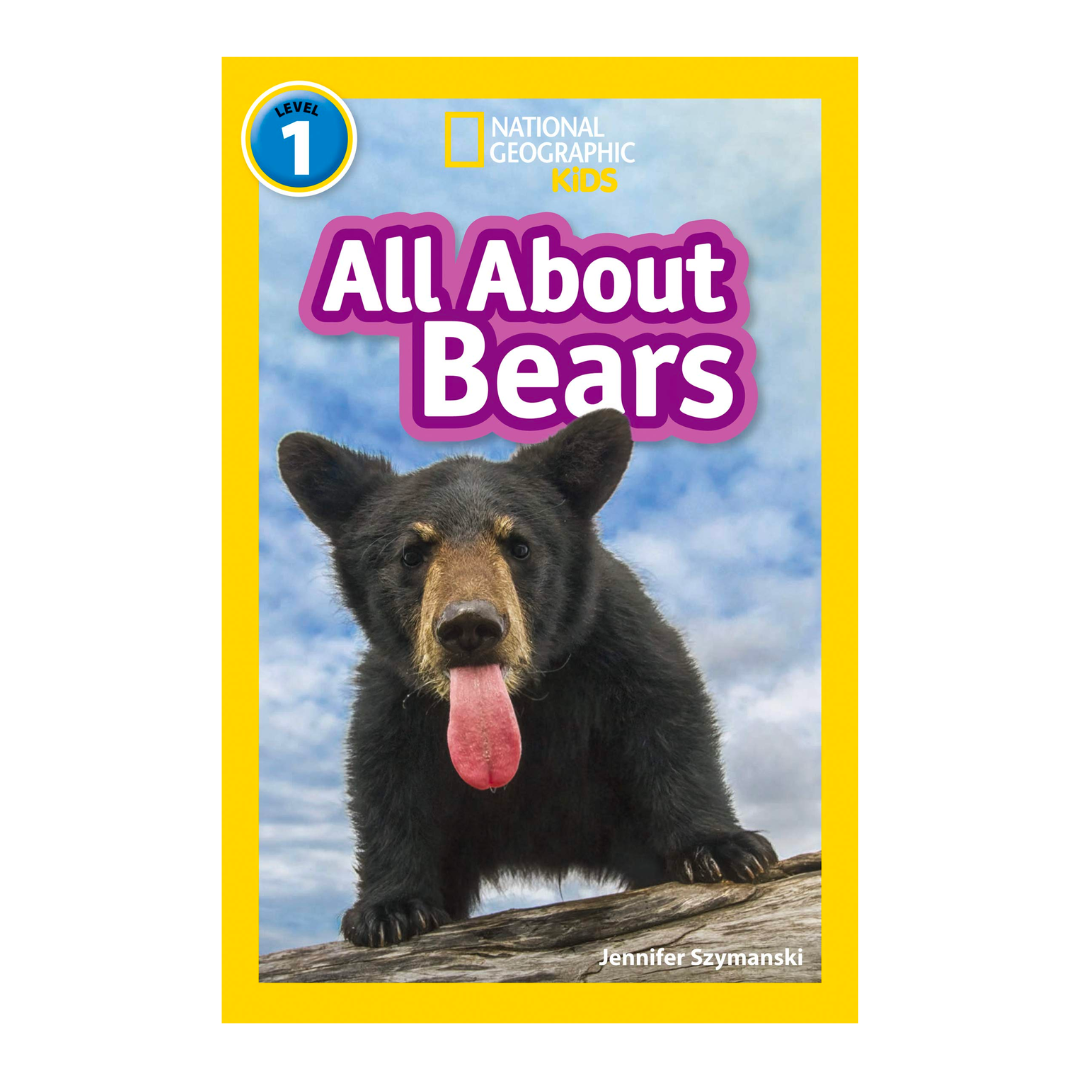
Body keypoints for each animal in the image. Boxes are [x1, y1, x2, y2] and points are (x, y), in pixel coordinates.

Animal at [277, 408, 777, 948]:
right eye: (412, 553)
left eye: (519, 546)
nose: (469, 625)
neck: (524, 700)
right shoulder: (394, 694)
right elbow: (386, 776)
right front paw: (389, 909)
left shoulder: (617, 640)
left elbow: (667, 717)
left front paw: (724, 848)